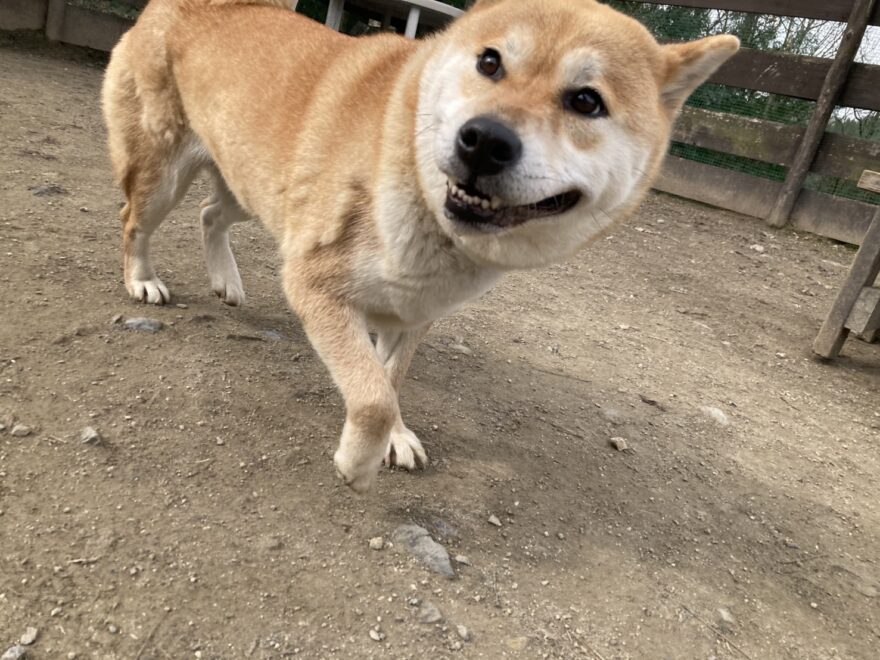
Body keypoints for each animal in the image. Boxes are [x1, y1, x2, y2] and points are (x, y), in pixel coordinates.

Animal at [102, 0, 738, 492]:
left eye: (586, 101)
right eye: (490, 62)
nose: (484, 140)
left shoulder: (412, 313)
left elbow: (389, 378)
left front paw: (397, 437)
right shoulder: (314, 283)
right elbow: (372, 395)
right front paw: (357, 462)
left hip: (256, 184)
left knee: (211, 213)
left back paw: (227, 282)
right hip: (167, 173)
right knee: (134, 220)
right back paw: (142, 280)